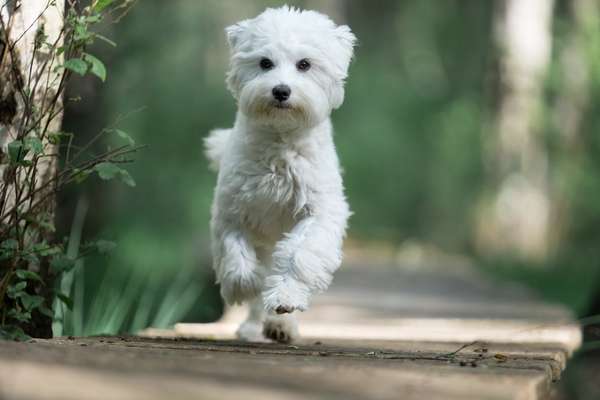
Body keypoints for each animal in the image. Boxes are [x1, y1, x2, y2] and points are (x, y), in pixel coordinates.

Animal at [206, 5, 356, 344]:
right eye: (265, 63)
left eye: (304, 64)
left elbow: (298, 255)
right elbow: (236, 255)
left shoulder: (318, 212)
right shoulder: (231, 210)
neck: (280, 142)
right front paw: (246, 284)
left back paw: (281, 325)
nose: (281, 90)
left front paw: (284, 299)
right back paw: (253, 325)